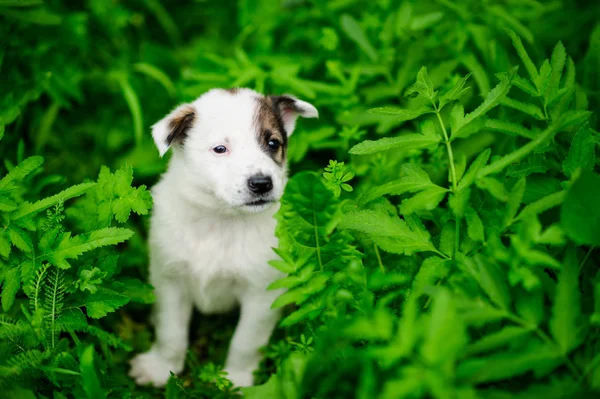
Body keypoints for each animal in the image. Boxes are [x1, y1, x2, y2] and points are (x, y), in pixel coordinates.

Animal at [128, 87, 316, 388]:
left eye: (272, 143)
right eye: (220, 149)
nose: (262, 183)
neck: (221, 218)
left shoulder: (262, 292)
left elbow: (246, 341)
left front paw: (236, 379)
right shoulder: (169, 280)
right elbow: (170, 332)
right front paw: (161, 368)